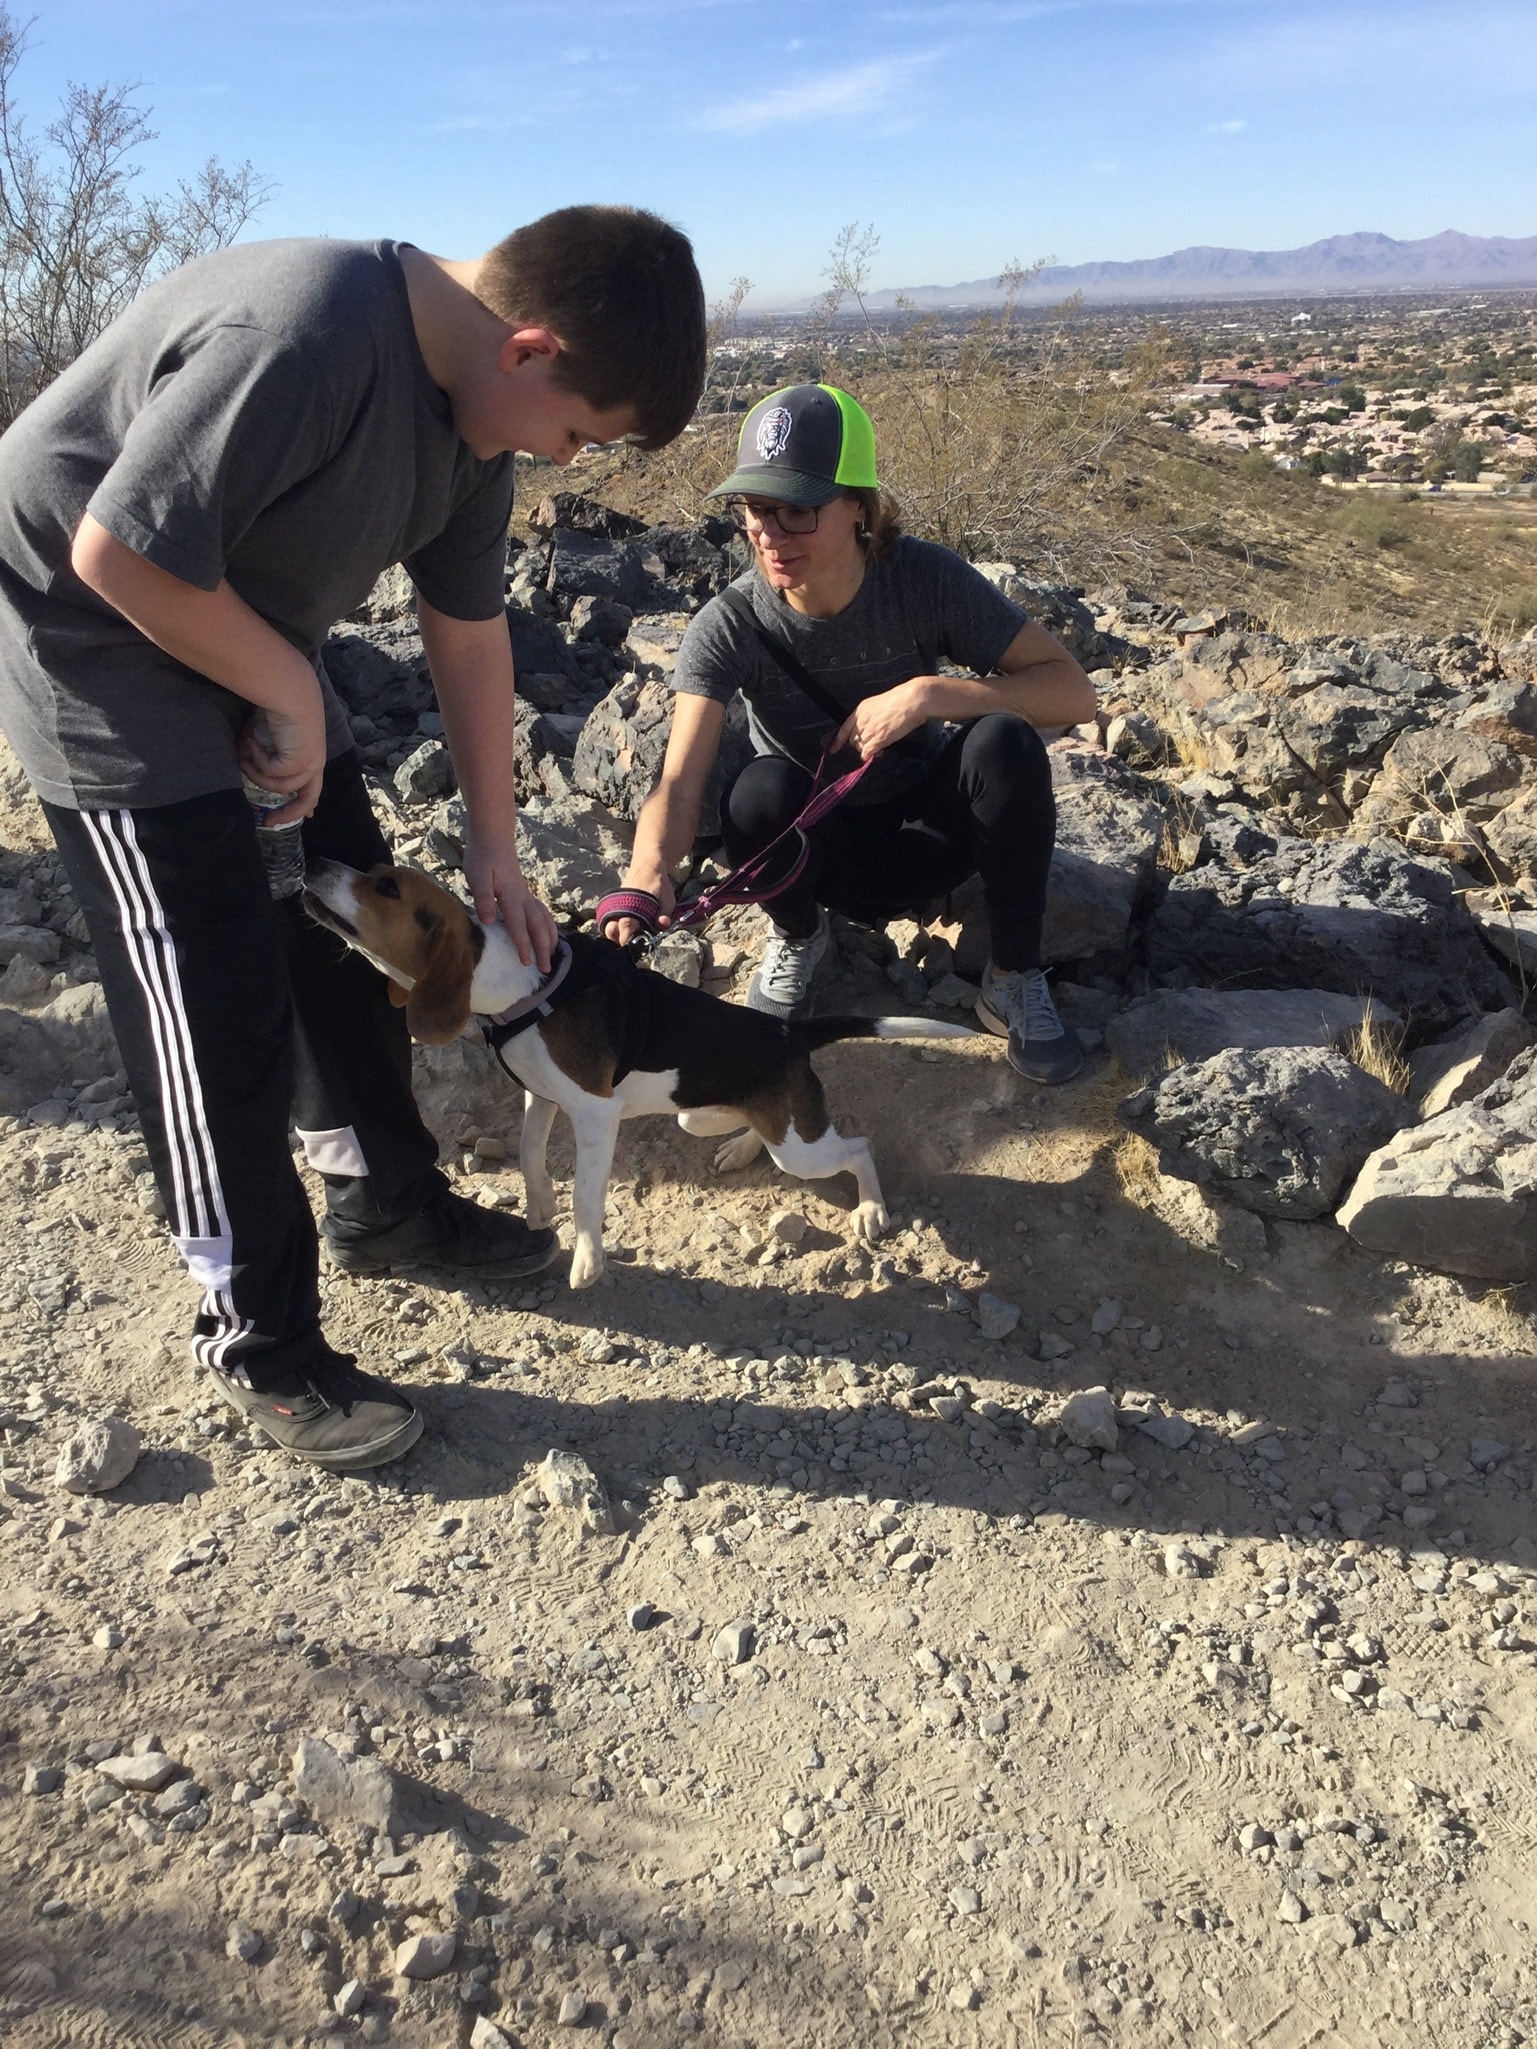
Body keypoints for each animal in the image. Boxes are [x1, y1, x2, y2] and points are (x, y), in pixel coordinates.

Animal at [303, 860, 975, 1278]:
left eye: (386, 887)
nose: (312, 864)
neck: (525, 991)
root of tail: (786, 1031)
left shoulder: (595, 1114)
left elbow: (587, 1198)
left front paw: (586, 1261)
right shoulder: (540, 1097)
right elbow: (528, 1154)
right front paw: (538, 1208)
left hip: (802, 1152)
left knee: (858, 1148)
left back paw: (871, 1209)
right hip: (706, 1116)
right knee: (757, 1128)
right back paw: (739, 1149)